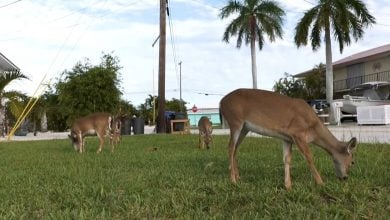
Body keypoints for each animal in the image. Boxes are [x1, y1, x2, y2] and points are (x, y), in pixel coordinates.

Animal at [219, 88, 356, 190]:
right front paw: (320, 182)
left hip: (244, 128)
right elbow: (309, 157)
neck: (314, 129)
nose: (345, 178)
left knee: (235, 148)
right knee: (230, 147)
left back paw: (238, 176)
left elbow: (287, 159)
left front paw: (288, 185)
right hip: (235, 120)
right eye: (352, 162)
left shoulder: (287, 138)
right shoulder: (298, 134)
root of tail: (221, 102)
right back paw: (233, 180)